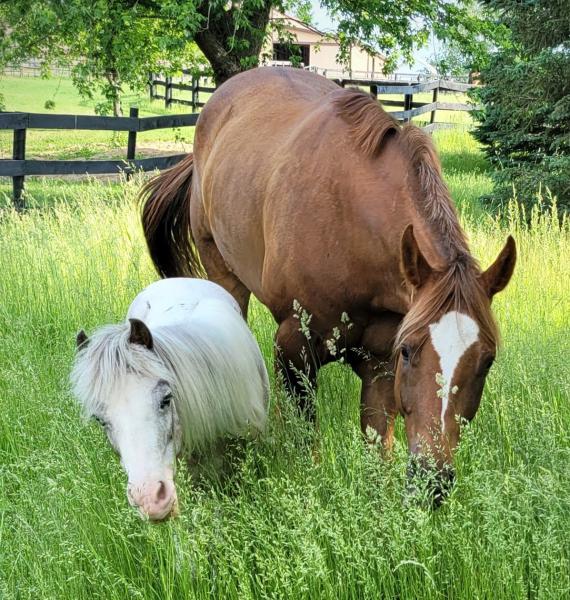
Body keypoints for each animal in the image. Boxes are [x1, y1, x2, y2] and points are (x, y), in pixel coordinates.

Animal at [139, 69, 516, 502]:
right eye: (409, 351)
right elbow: (307, 445)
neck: (350, 223)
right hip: (223, 275)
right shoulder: (294, 348)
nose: (431, 481)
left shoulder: (379, 365)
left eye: (487, 360)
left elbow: (378, 450)